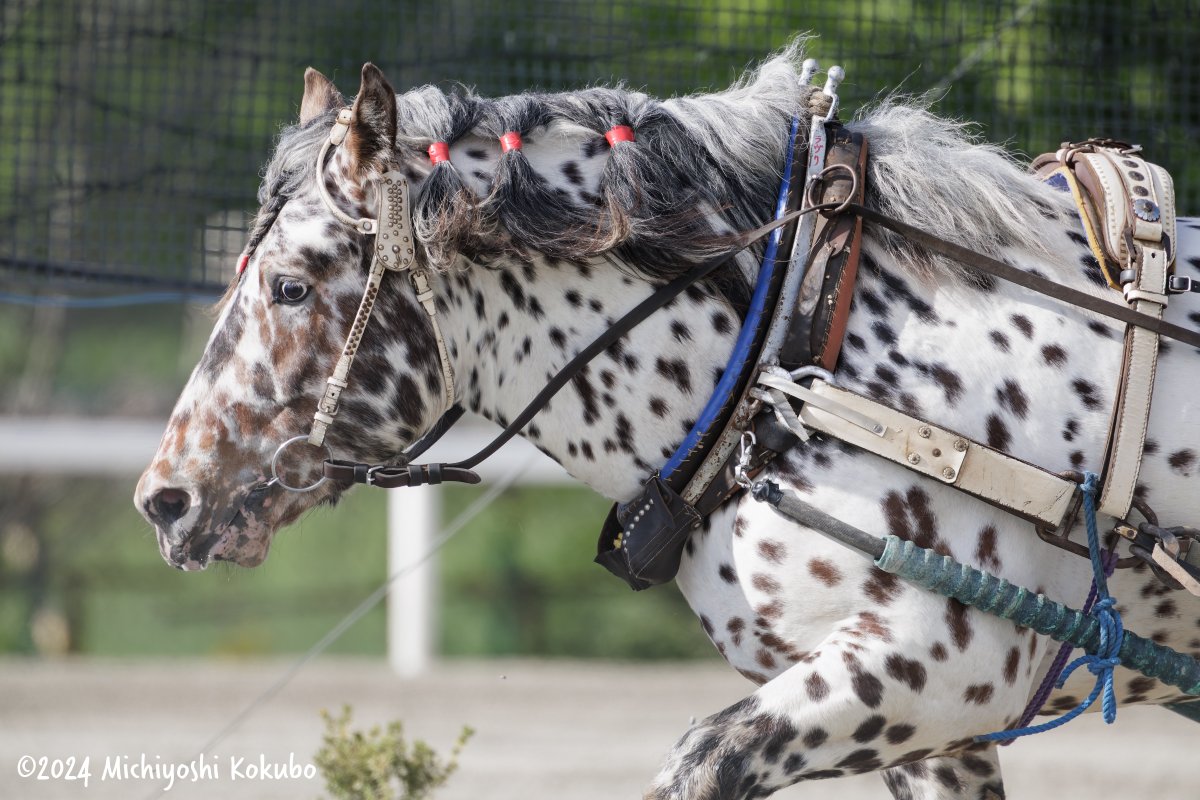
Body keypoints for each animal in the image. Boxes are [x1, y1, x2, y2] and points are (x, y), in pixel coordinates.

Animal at [136, 43, 1200, 800]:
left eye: (289, 285)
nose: (165, 499)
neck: (795, 340)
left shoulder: (942, 664)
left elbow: (699, 758)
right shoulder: (936, 729)